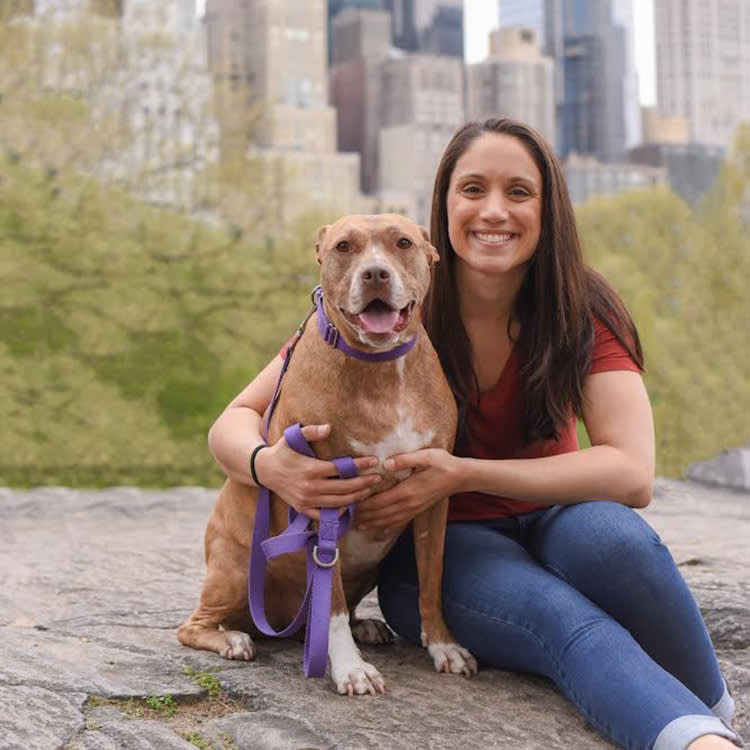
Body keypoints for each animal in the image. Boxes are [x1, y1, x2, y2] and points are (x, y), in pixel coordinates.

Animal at [179, 214, 478, 696]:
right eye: (343, 247)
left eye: (403, 243)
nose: (375, 273)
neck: (380, 370)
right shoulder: (323, 500)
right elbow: (330, 600)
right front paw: (349, 668)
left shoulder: (433, 497)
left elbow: (431, 583)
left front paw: (443, 646)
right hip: (234, 571)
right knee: (194, 625)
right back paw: (233, 640)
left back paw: (364, 626)